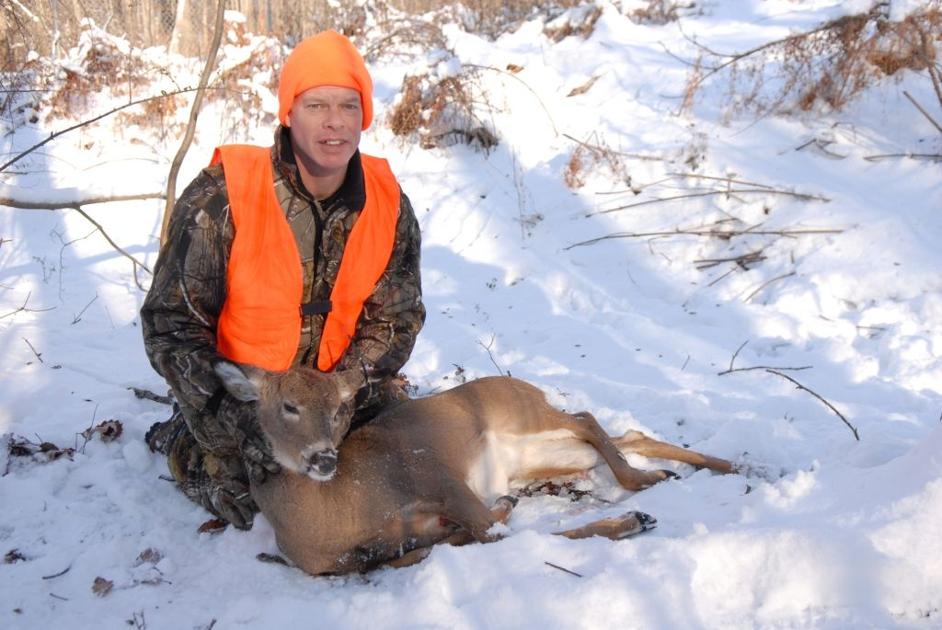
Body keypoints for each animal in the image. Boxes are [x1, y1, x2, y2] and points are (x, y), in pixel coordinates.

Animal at [213, 361, 735, 575]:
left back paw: (658, 485)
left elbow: (501, 536)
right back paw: (709, 467)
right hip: (542, 454)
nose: (323, 458)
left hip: (522, 412)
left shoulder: (436, 474)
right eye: (288, 406)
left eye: (341, 407)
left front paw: (631, 521)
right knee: (623, 434)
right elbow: (440, 545)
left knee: (587, 417)